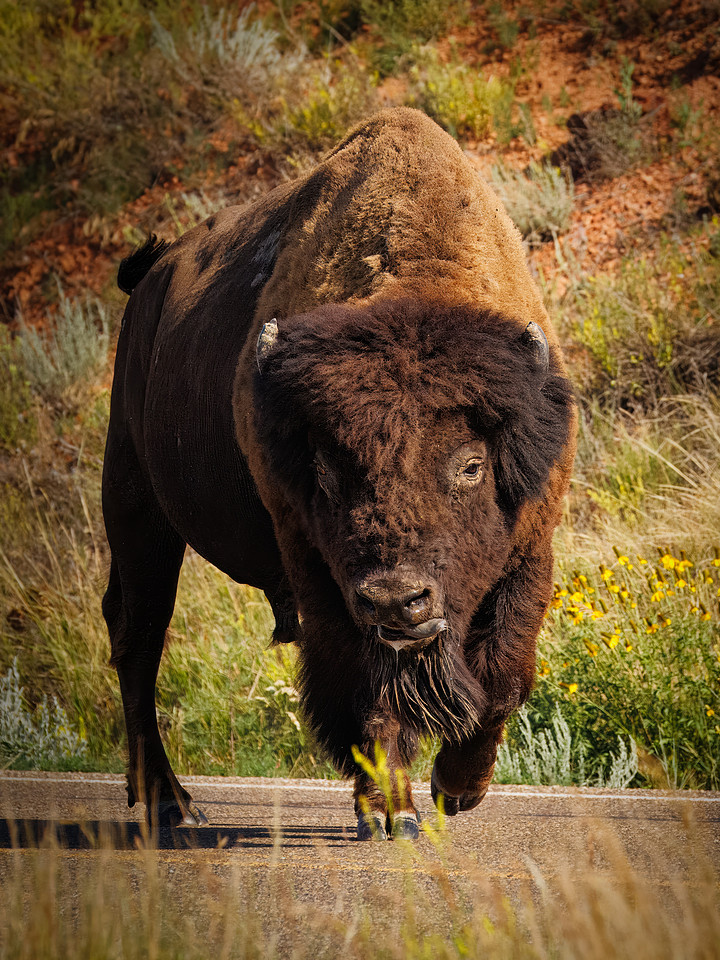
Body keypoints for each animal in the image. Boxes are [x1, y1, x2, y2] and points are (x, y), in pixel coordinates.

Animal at [102, 107, 577, 840]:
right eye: (325, 472)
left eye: (471, 466)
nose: (397, 599)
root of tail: (151, 279)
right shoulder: (317, 567)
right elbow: (365, 687)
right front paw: (394, 811)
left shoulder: (529, 552)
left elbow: (504, 677)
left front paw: (453, 790)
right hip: (137, 509)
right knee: (139, 643)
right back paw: (170, 805)